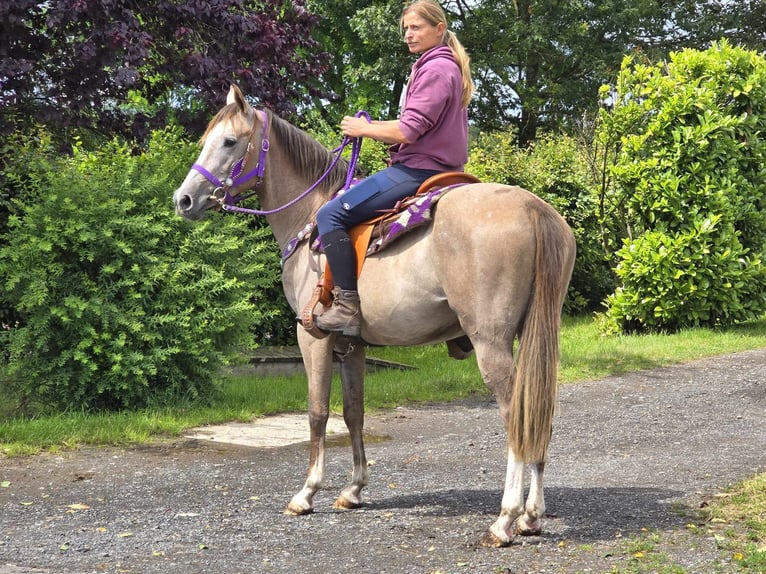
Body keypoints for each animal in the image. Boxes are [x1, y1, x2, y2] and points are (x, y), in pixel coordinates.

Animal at [174, 85, 576, 548]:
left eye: (229, 141)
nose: (183, 199)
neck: (309, 220)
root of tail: (533, 209)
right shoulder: (352, 345)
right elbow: (354, 412)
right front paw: (353, 489)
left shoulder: (313, 338)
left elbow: (317, 413)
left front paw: (306, 493)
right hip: (536, 336)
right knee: (540, 413)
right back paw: (531, 516)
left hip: (491, 343)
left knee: (516, 416)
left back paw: (505, 518)